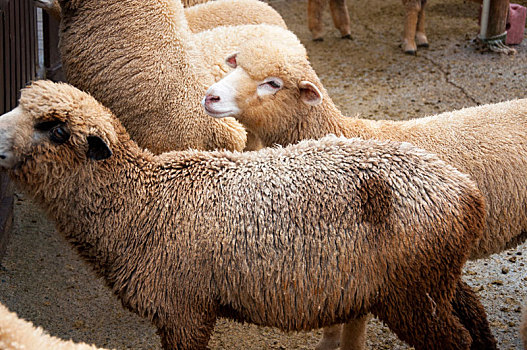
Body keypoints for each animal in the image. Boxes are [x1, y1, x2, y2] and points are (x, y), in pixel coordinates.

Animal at [0, 79, 496, 350]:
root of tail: (467, 193)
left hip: (413, 294)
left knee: (455, 340)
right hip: (433, 277)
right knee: (473, 313)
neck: (142, 203)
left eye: (56, 129)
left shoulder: (184, 312)